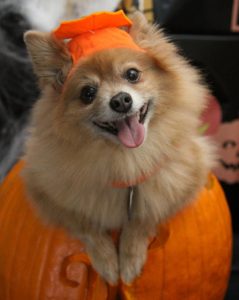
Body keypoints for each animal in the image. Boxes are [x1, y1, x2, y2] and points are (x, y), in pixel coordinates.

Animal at [22, 11, 213, 284]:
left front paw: (130, 259)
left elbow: (144, 217)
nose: (121, 100)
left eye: (132, 74)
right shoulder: (44, 193)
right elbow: (86, 225)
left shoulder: (185, 183)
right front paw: (108, 262)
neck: (125, 158)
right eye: (88, 93)